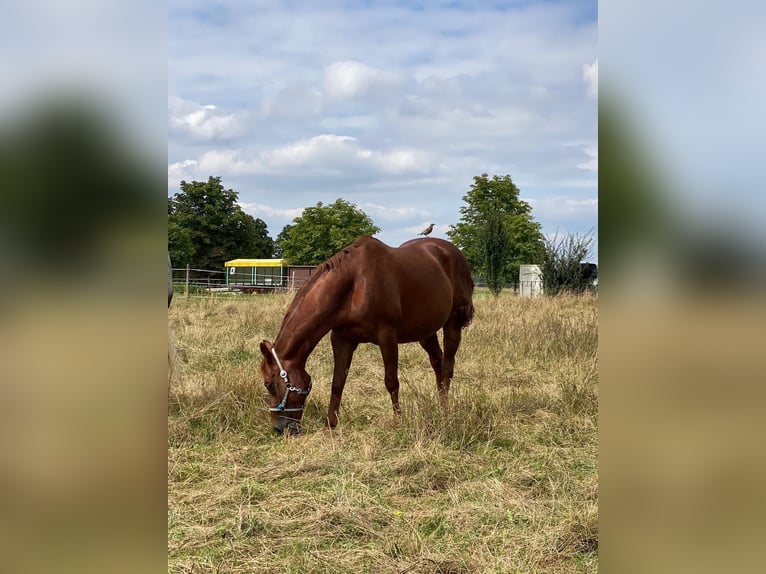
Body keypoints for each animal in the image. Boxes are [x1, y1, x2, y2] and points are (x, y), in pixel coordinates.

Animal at [260, 236, 474, 434]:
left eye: (269, 384)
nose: (279, 428)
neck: (356, 283)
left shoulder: (387, 336)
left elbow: (391, 381)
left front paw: (398, 422)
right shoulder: (342, 339)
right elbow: (337, 382)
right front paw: (331, 426)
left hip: (452, 323)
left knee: (447, 367)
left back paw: (446, 413)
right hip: (425, 332)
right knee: (437, 363)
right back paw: (440, 406)